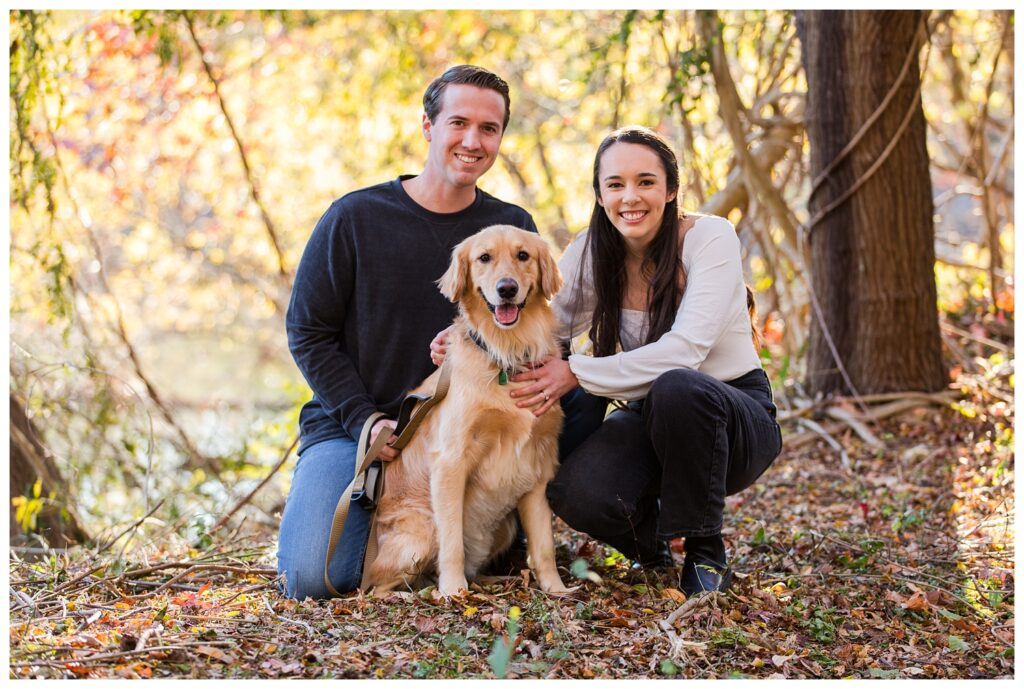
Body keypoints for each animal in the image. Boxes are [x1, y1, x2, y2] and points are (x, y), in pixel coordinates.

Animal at [366, 223, 577, 593]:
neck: (505, 354)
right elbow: (452, 541)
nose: (506, 289)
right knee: (380, 587)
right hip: (421, 529)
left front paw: (556, 590)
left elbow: (544, 545)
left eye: (523, 255)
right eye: (484, 258)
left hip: (504, 527)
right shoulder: (451, 460)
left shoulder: (538, 466)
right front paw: (453, 591)